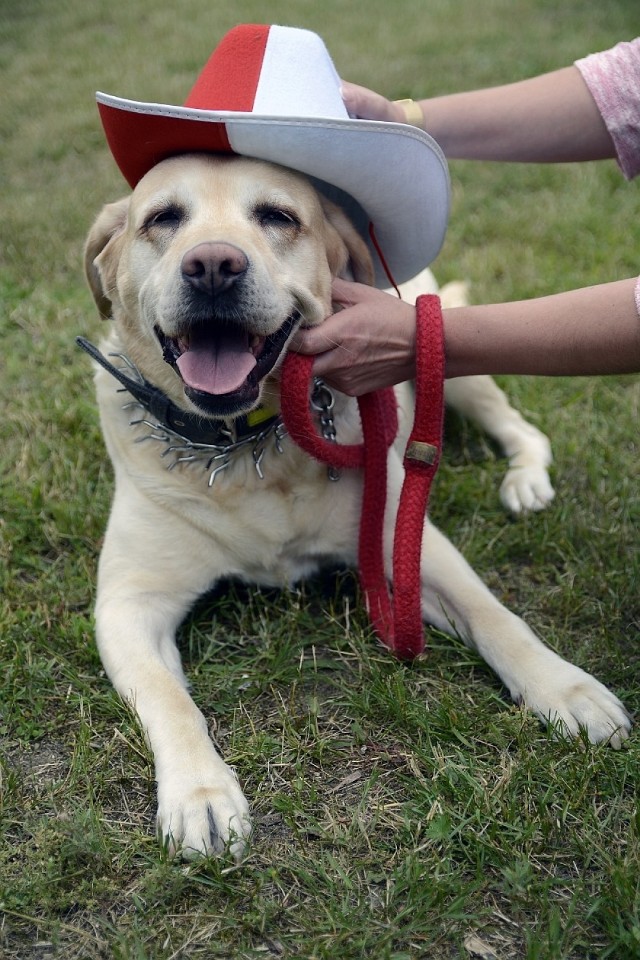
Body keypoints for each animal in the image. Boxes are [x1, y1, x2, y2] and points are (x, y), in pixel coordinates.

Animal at [82, 152, 628, 864]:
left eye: (278, 217)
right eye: (163, 219)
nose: (213, 266)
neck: (248, 446)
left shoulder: (407, 541)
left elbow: (496, 617)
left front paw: (565, 690)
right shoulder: (128, 604)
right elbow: (169, 698)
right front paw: (200, 794)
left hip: (450, 360)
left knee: (520, 426)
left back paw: (526, 480)